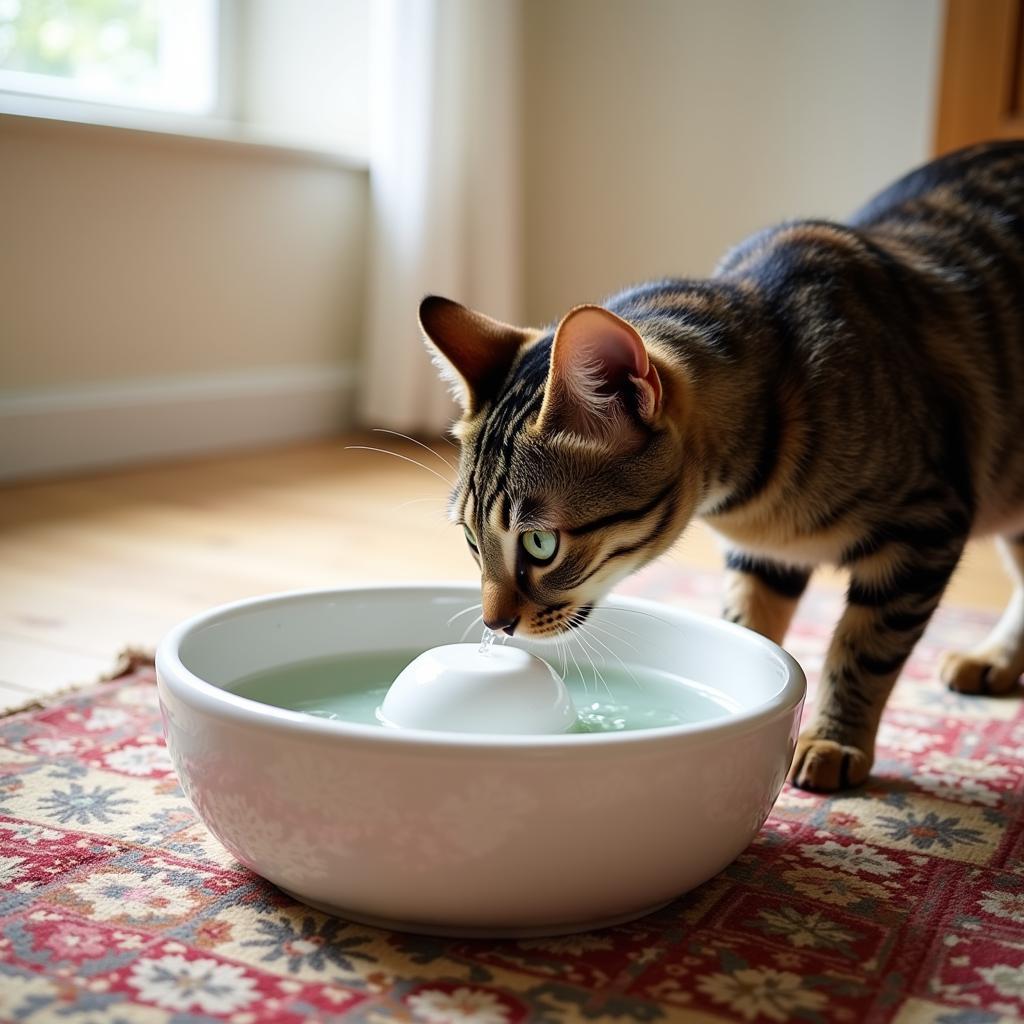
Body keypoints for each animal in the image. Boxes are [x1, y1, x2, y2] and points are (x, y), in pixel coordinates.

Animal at [415, 140, 1024, 790]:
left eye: (539, 545)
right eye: (472, 540)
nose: (495, 626)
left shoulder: (926, 525)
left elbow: (864, 650)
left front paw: (833, 738)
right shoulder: (766, 558)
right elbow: (749, 625)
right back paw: (993, 659)